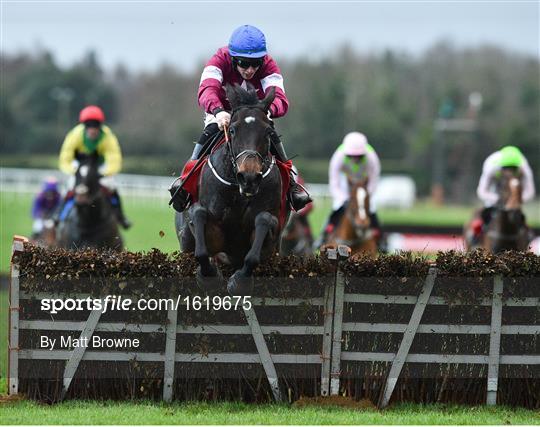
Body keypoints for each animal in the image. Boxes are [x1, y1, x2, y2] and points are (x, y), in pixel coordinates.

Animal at [175, 85, 288, 296]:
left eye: (268, 131)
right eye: (233, 130)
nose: (249, 177)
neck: (239, 190)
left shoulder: (272, 236)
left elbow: (263, 223)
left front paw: (239, 280)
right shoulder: (213, 235)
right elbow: (199, 217)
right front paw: (209, 275)